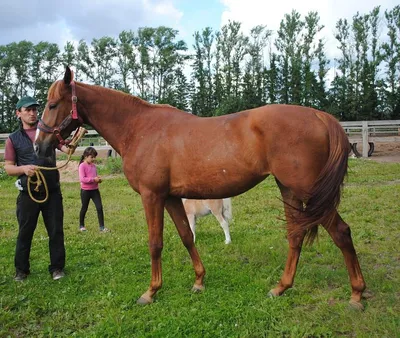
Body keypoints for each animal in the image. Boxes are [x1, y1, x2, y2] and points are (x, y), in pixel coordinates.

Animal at [34, 66, 366, 308]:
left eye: (52, 104)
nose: (39, 145)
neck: (139, 128)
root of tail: (318, 116)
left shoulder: (152, 196)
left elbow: (155, 243)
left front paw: (151, 292)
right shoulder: (171, 198)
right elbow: (186, 236)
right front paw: (199, 281)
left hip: (309, 192)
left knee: (341, 232)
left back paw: (356, 294)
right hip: (289, 189)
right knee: (296, 234)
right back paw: (281, 288)